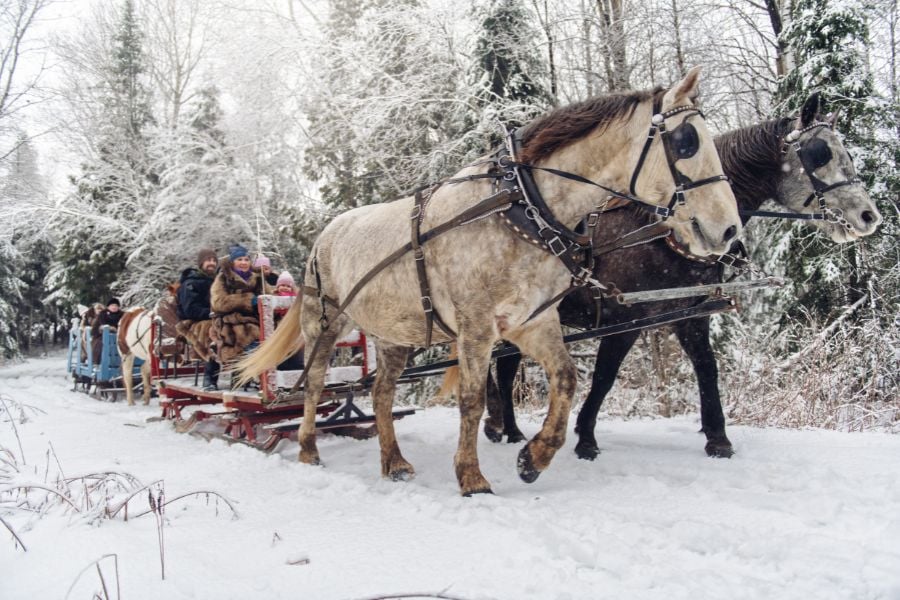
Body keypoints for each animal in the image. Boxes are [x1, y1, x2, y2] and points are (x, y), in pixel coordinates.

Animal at [239, 67, 743, 495]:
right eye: (686, 141)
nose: (728, 230)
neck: (524, 207)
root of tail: (328, 231)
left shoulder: (531, 321)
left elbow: (567, 379)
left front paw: (534, 458)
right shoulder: (476, 326)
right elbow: (472, 399)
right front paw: (471, 476)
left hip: (394, 334)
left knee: (381, 393)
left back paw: (393, 461)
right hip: (323, 322)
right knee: (314, 384)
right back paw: (309, 449)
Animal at [468, 92, 882, 458]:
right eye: (819, 153)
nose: (869, 216)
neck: (662, 231)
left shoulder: (691, 314)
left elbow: (707, 369)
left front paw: (718, 439)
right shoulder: (624, 319)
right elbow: (604, 377)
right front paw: (586, 438)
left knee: (505, 367)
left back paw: (505, 427)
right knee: (503, 367)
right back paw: (505, 427)